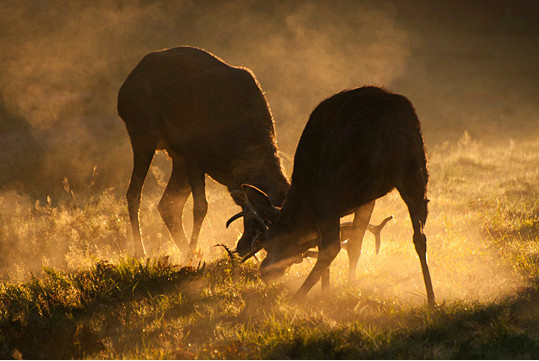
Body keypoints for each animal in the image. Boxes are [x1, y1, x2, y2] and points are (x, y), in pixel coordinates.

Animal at [119, 45, 392, 264]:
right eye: (258, 223)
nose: (240, 248)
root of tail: (125, 85)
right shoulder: (194, 154)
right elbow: (201, 207)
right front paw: (192, 256)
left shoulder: (198, 162)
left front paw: (193, 254)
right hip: (142, 131)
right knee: (134, 193)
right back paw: (142, 252)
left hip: (175, 157)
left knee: (167, 204)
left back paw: (183, 250)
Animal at [230, 86, 436, 306]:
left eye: (269, 241)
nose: (265, 272)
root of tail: (388, 126)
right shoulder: (367, 199)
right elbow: (355, 244)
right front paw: (348, 286)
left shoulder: (323, 200)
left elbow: (328, 244)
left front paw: (326, 290)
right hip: (415, 170)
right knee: (419, 237)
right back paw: (431, 299)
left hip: (335, 181)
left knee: (332, 247)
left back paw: (298, 297)